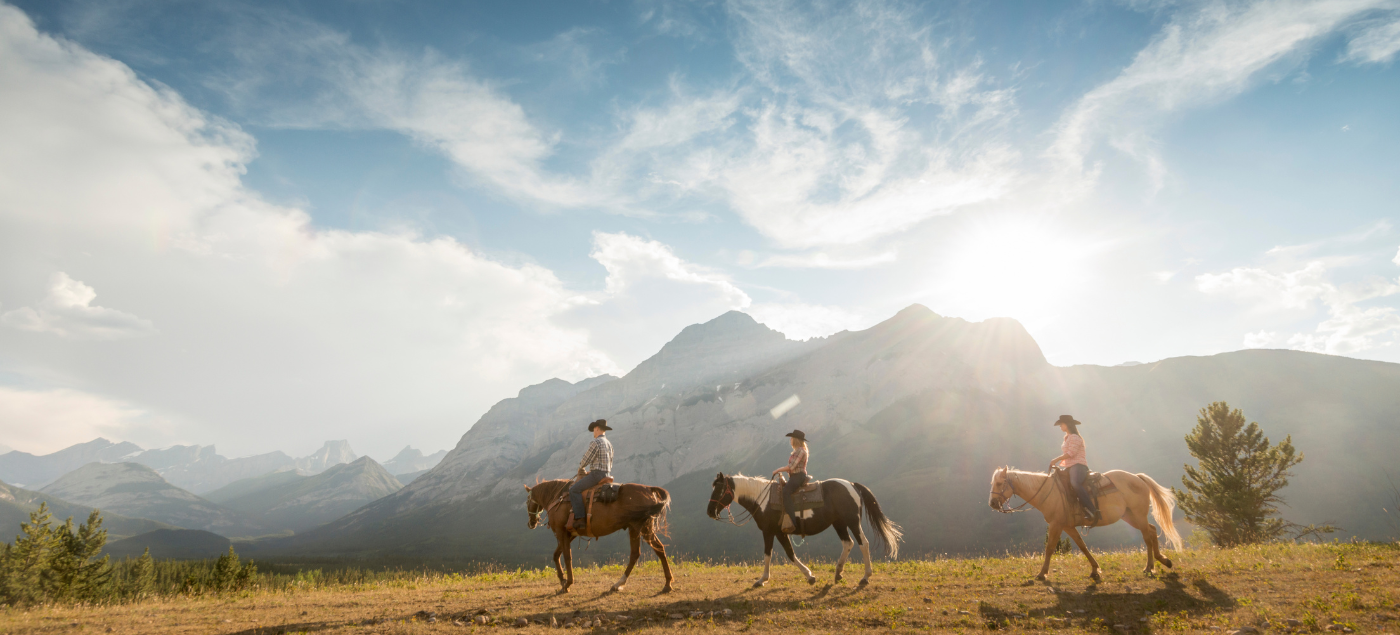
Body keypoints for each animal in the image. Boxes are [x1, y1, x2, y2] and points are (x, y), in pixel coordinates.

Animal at [526, 478, 674, 593]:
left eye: (527, 501)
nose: (531, 523)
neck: (558, 498)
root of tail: (649, 489)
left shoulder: (561, 532)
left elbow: (567, 557)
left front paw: (567, 584)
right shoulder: (569, 534)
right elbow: (556, 555)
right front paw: (563, 580)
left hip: (641, 527)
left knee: (647, 551)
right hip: (638, 528)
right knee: (650, 551)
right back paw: (665, 584)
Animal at [705, 472, 901, 587]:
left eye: (719, 489)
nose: (710, 512)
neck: (763, 500)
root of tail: (851, 485)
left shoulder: (771, 532)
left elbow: (781, 554)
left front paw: (763, 579)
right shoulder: (777, 533)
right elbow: (781, 553)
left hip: (852, 521)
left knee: (863, 544)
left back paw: (865, 576)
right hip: (839, 523)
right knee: (848, 543)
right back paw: (838, 573)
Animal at [985, 467, 1181, 579]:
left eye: (1000, 483)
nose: (992, 504)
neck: (1049, 492)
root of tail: (1138, 478)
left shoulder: (1056, 524)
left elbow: (1050, 548)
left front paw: (1042, 573)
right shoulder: (1068, 526)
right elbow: (1082, 546)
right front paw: (1095, 570)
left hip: (1138, 515)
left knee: (1147, 536)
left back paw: (1149, 567)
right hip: (1130, 516)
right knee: (1152, 530)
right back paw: (1164, 561)